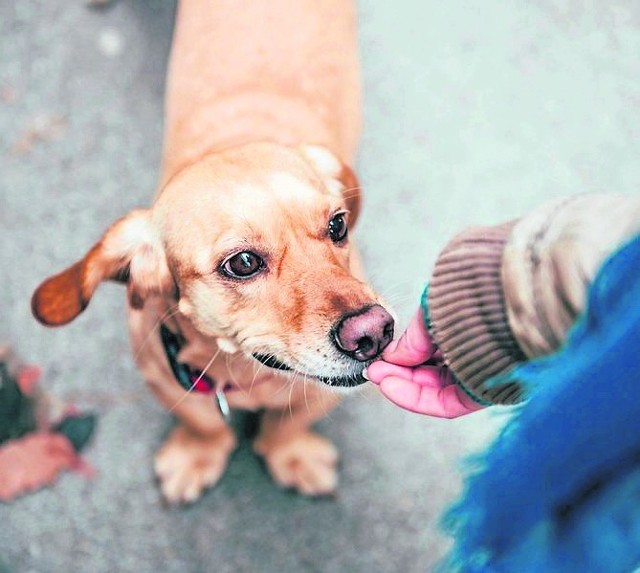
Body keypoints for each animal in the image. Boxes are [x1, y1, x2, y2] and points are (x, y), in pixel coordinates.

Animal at [31, 0, 396, 500]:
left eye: (337, 225)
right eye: (243, 263)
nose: (374, 333)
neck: (243, 374)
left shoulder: (323, 392)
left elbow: (288, 422)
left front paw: (291, 453)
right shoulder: (162, 375)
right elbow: (204, 423)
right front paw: (197, 453)